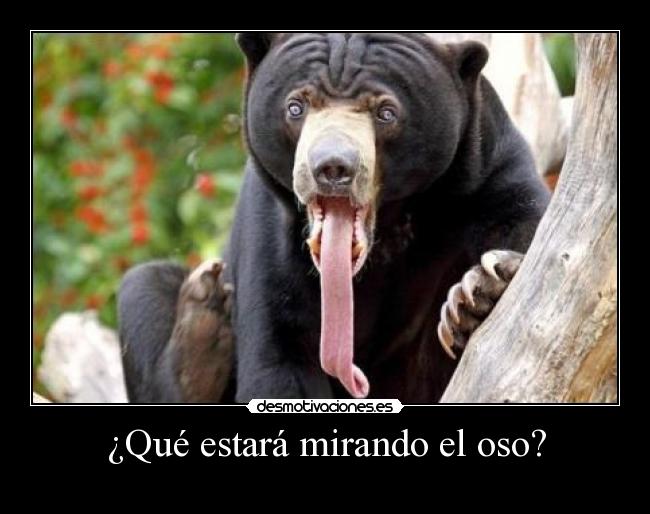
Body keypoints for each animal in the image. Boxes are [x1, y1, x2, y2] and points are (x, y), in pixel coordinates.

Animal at [118, 32, 550, 403]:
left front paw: (478, 293)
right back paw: (201, 327)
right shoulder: (272, 226)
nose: (332, 168)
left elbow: (525, 228)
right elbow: (280, 351)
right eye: (296, 106)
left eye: (386, 112)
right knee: (145, 287)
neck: (389, 228)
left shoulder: (487, 168)